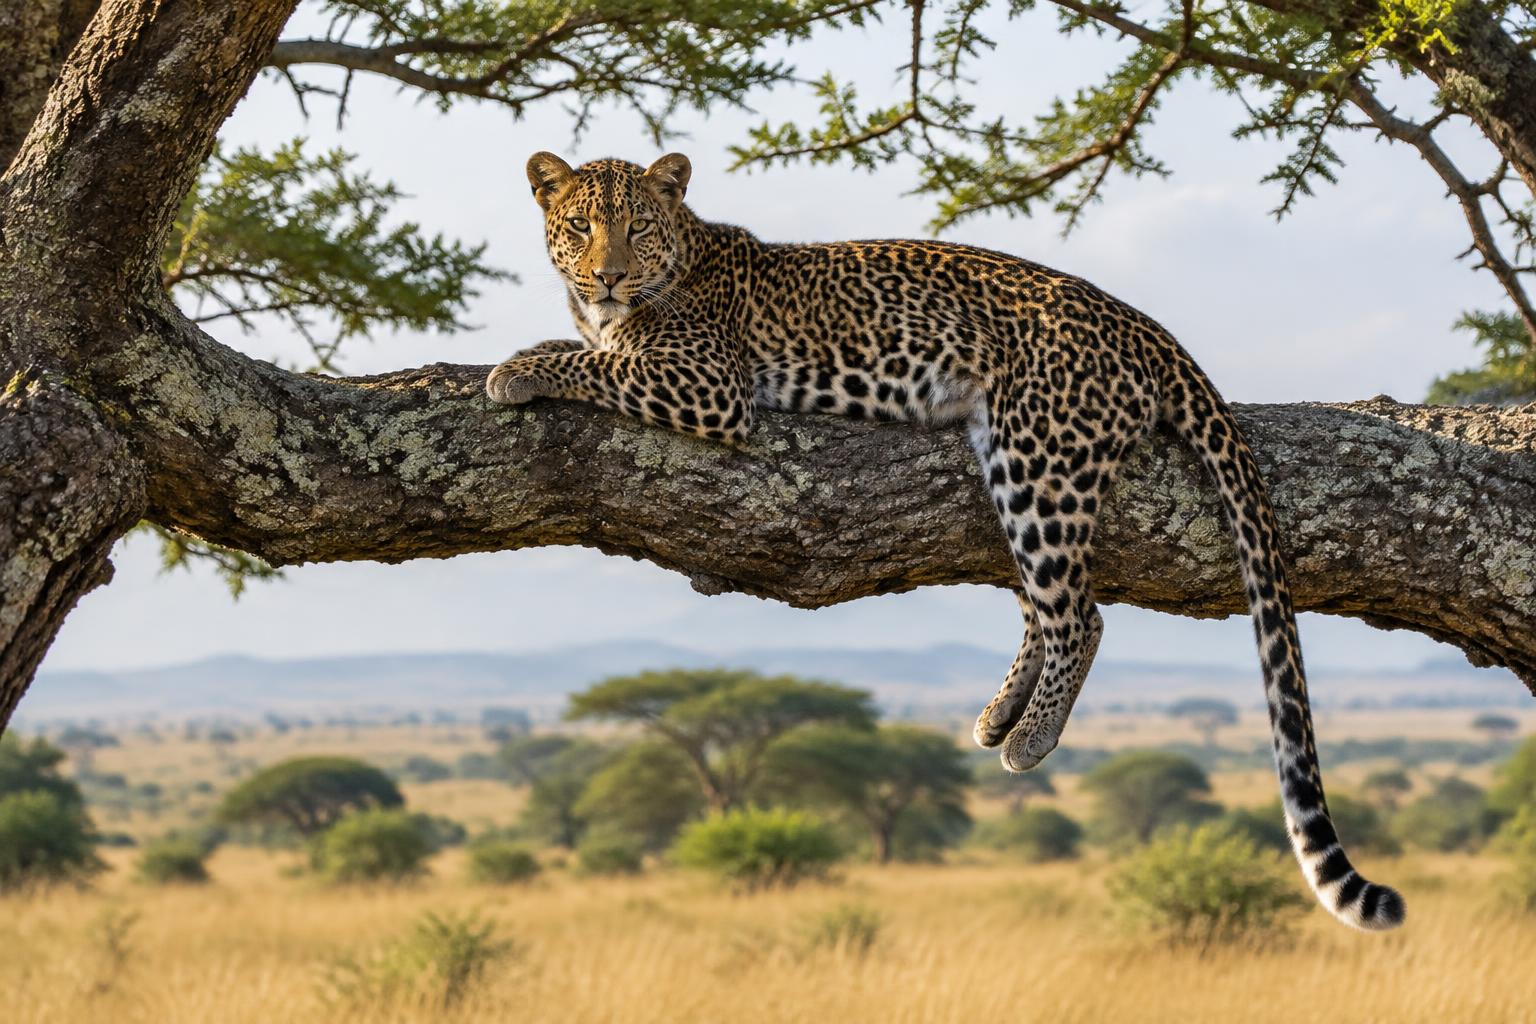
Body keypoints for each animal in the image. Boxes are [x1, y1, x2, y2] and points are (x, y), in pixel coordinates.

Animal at [486, 151, 1405, 931]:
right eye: (580, 226)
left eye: (638, 227)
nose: (607, 275)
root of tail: (1142, 323)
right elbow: (585, 348)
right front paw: (543, 344)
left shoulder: (707, 385)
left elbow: (596, 364)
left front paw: (513, 370)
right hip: (1006, 462)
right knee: (1043, 605)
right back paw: (1001, 714)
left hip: (1041, 459)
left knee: (1080, 615)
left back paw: (1030, 738)